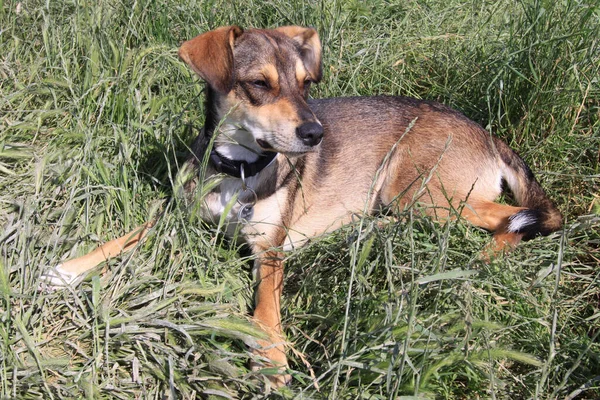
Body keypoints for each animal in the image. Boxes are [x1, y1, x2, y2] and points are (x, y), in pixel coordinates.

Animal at [45, 25, 564, 388]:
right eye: (259, 84)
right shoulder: (178, 216)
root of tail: (487, 133)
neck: (237, 171)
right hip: (404, 202)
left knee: (521, 219)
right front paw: (68, 270)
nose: (316, 134)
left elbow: (265, 313)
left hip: (417, 193)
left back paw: (480, 259)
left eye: (306, 84)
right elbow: (124, 236)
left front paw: (272, 360)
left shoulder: (270, 253)